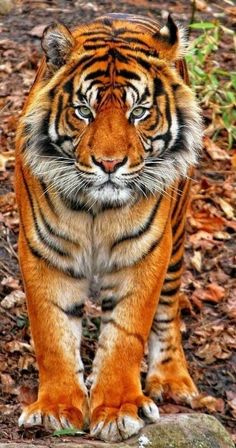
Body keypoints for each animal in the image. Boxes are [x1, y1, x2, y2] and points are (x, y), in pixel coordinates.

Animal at [14, 13, 202, 440]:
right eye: (84, 111)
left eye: (139, 112)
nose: (110, 163)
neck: (97, 209)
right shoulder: (42, 252)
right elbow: (53, 333)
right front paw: (56, 408)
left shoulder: (145, 253)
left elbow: (125, 336)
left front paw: (117, 410)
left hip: (177, 232)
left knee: (169, 309)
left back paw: (172, 381)